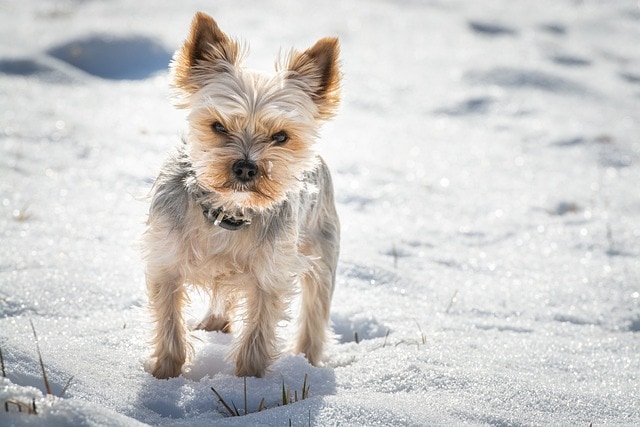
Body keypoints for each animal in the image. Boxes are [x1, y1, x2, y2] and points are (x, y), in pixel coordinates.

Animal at [143, 11, 342, 380]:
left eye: (281, 136)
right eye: (218, 126)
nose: (247, 168)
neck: (228, 212)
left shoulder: (270, 276)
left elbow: (258, 335)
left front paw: (249, 385)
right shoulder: (166, 262)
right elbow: (169, 323)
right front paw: (165, 375)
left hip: (322, 247)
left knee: (315, 309)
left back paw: (307, 361)